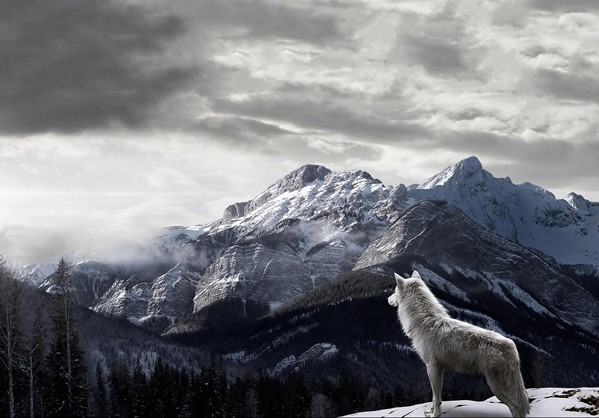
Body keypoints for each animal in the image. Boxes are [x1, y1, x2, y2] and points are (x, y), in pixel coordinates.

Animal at [390, 270, 528, 416]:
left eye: (394, 291)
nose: (388, 299)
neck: (424, 320)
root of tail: (511, 345)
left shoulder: (431, 367)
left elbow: (435, 397)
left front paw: (435, 414)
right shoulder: (439, 369)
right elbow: (436, 397)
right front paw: (431, 411)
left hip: (496, 387)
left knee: (516, 407)